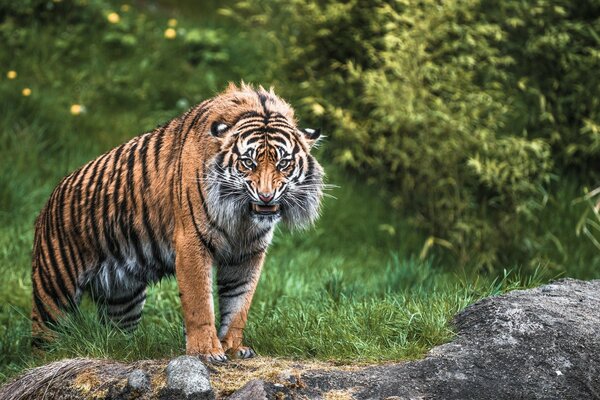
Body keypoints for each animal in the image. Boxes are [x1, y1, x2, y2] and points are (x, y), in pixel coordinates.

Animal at [29, 83, 324, 360]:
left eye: (283, 163)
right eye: (247, 163)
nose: (266, 196)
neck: (241, 217)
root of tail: (48, 202)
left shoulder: (248, 254)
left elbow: (239, 304)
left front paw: (232, 347)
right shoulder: (192, 242)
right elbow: (199, 303)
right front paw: (206, 351)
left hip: (123, 297)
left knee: (114, 332)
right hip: (54, 289)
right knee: (42, 336)